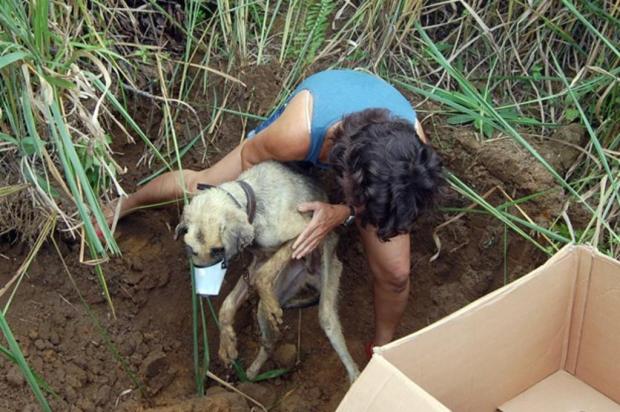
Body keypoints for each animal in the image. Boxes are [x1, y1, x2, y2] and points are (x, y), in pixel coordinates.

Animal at [176, 160, 358, 384]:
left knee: (327, 319)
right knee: (270, 340)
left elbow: (263, 277)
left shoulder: (304, 232)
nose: (203, 294)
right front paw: (227, 343)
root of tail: (309, 275)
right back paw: (252, 373)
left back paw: (355, 375)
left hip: (330, 270)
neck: (252, 197)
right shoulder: (258, 261)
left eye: (217, 250)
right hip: (281, 287)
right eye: (191, 250)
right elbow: (228, 305)